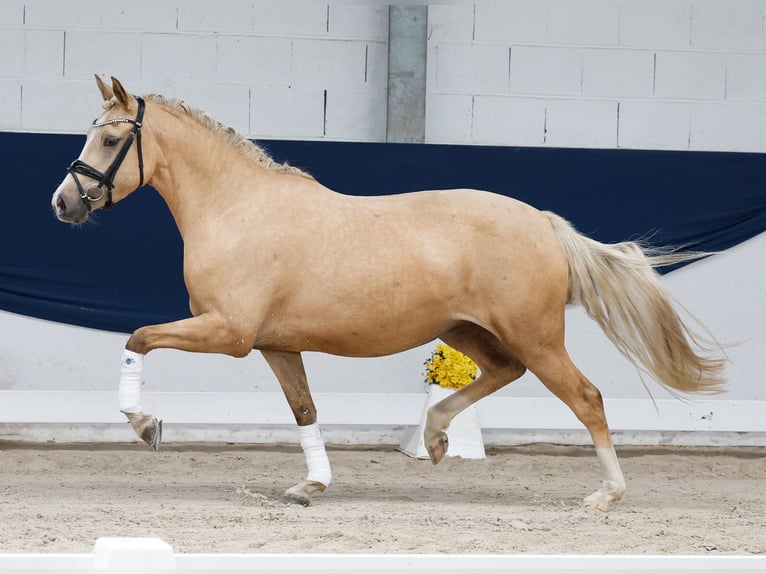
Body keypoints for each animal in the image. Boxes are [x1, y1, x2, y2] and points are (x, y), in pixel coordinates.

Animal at [51, 76, 726, 511]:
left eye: (109, 140)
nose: (62, 203)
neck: (237, 208)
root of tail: (543, 222)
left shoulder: (229, 332)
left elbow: (139, 336)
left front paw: (145, 424)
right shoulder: (275, 345)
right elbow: (304, 410)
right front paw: (311, 486)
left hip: (535, 337)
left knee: (585, 397)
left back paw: (606, 494)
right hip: (468, 331)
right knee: (502, 373)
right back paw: (436, 437)